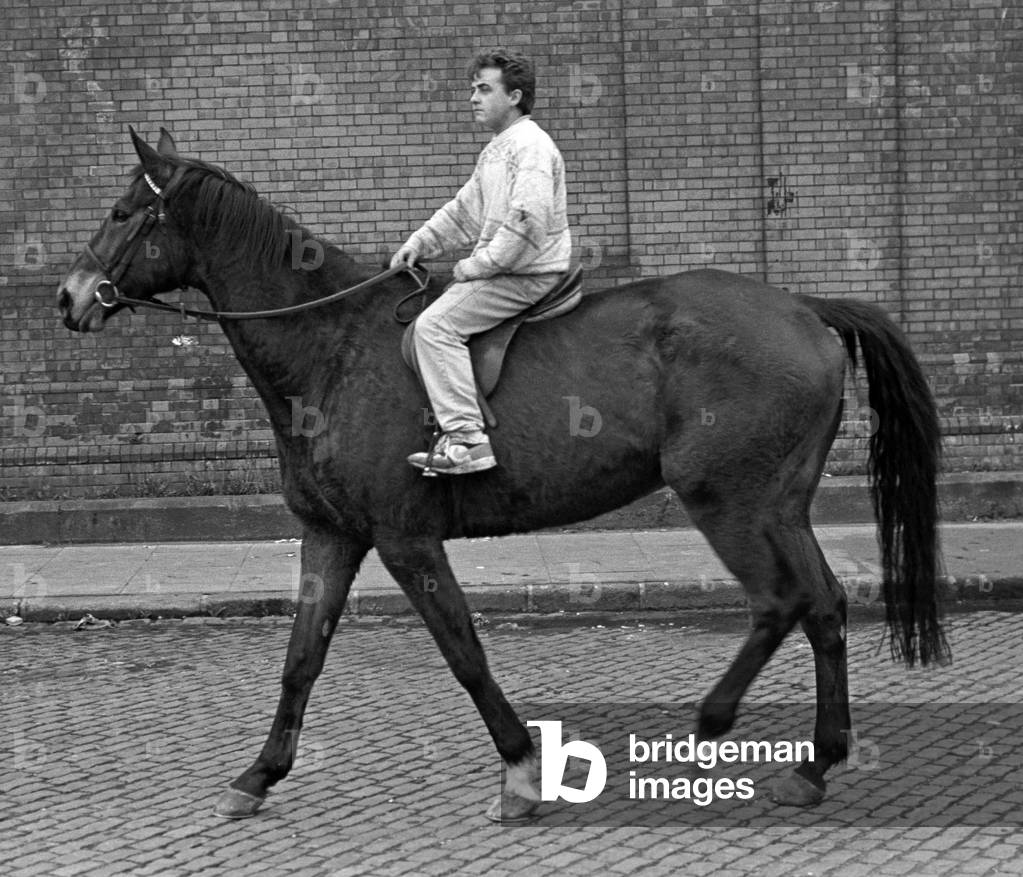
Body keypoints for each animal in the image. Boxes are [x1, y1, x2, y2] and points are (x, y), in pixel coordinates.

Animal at [56, 127, 949, 822]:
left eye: (122, 214)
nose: (70, 296)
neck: (331, 346)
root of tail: (803, 307)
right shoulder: (332, 536)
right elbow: (302, 657)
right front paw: (258, 773)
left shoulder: (406, 539)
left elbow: (464, 651)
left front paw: (521, 768)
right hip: (778, 504)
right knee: (823, 605)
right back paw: (813, 763)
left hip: (727, 499)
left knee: (779, 601)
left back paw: (713, 720)